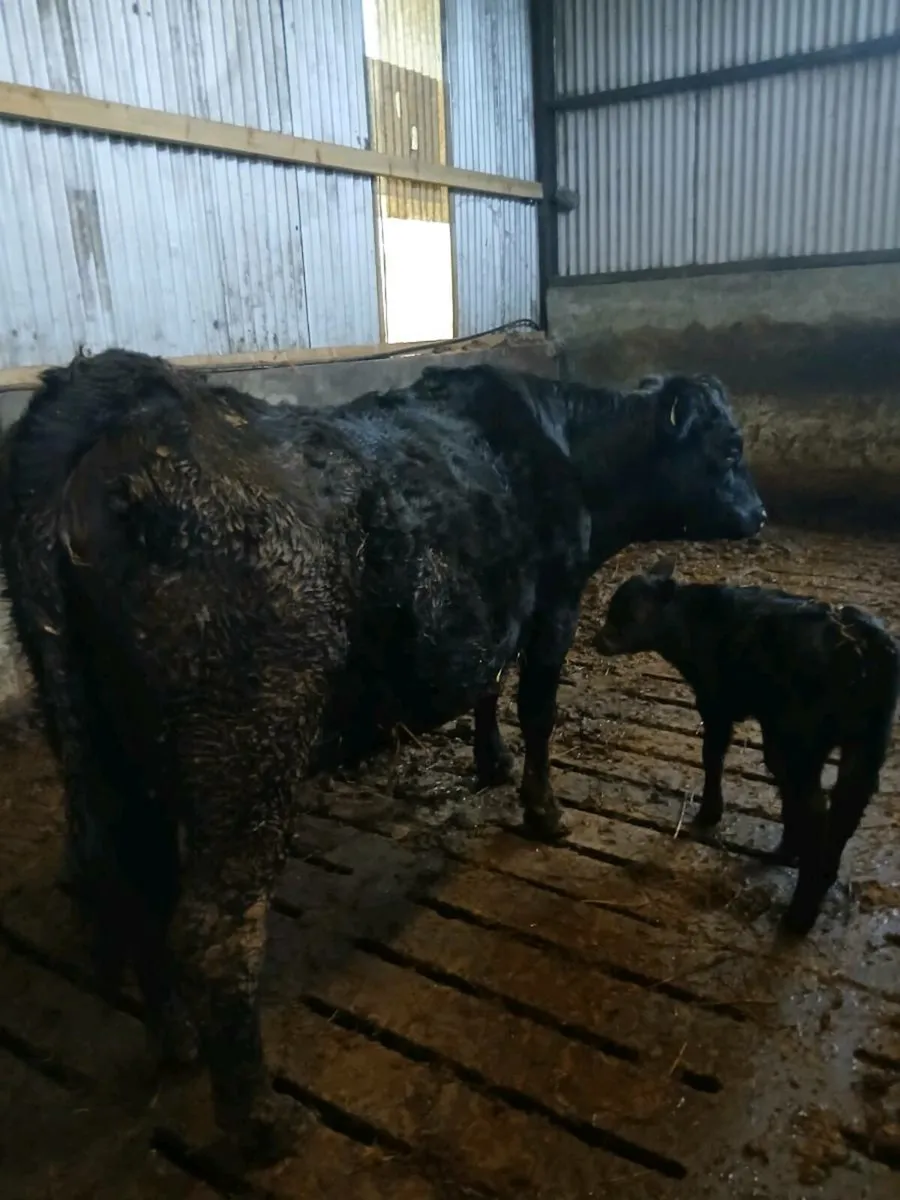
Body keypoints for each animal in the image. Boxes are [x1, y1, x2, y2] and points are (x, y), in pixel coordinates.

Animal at [0, 350, 765, 1164]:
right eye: (729, 448)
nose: (759, 514)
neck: (566, 448)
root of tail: (105, 405)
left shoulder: (493, 606)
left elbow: (488, 683)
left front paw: (491, 763)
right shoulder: (555, 600)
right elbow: (537, 707)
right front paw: (543, 809)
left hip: (106, 745)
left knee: (132, 882)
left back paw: (174, 1040)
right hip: (247, 749)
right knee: (211, 932)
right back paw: (259, 1119)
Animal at [593, 557, 899, 935]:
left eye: (631, 615)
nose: (597, 640)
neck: (693, 623)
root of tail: (859, 644)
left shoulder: (715, 701)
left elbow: (712, 755)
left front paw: (709, 813)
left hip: (799, 739)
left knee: (815, 809)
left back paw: (798, 913)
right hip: (865, 742)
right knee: (844, 807)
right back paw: (800, 864)